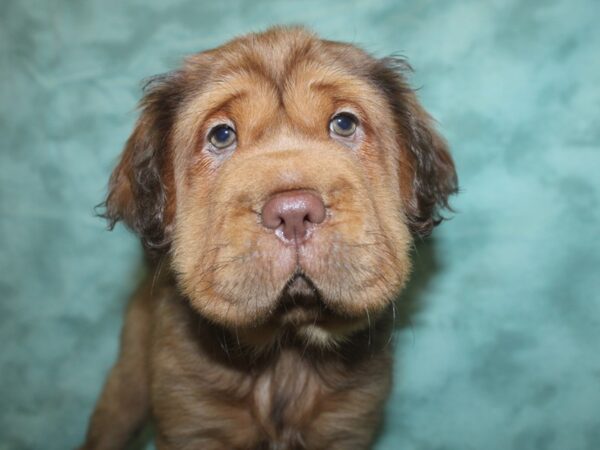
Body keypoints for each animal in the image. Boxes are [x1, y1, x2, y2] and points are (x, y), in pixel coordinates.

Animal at [82, 26, 458, 448]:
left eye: (344, 123)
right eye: (222, 135)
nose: (293, 213)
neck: (286, 352)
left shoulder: (347, 424)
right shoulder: (194, 421)